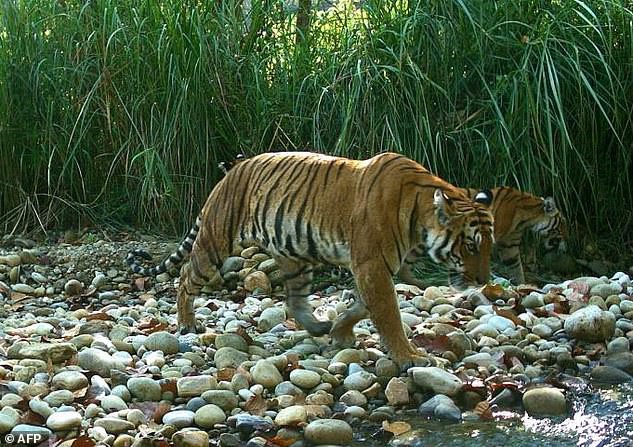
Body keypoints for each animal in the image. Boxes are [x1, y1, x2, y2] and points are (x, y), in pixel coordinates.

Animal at [127, 151, 494, 368]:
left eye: (489, 245)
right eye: (470, 246)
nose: (484, 281)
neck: (419, 218)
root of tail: (231, 171)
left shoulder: (372, 268)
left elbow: (363, 306)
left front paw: (340, 331)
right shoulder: (372, 265)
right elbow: (388, 313)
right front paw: (410, 356)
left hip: (295, 256)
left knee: (294, 298)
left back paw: (317, 325)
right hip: (215, 244)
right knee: (186, 276)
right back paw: (186, 322)